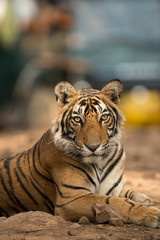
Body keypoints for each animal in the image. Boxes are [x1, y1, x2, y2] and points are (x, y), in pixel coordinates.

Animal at [0, 79, 160, 228]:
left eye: (104, 118)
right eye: (77, 119)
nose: (93, 146)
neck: (100, 162)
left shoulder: (114, 187)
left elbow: (138, 195)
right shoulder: (71, 198)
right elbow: (118, 202)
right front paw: (153, 214)